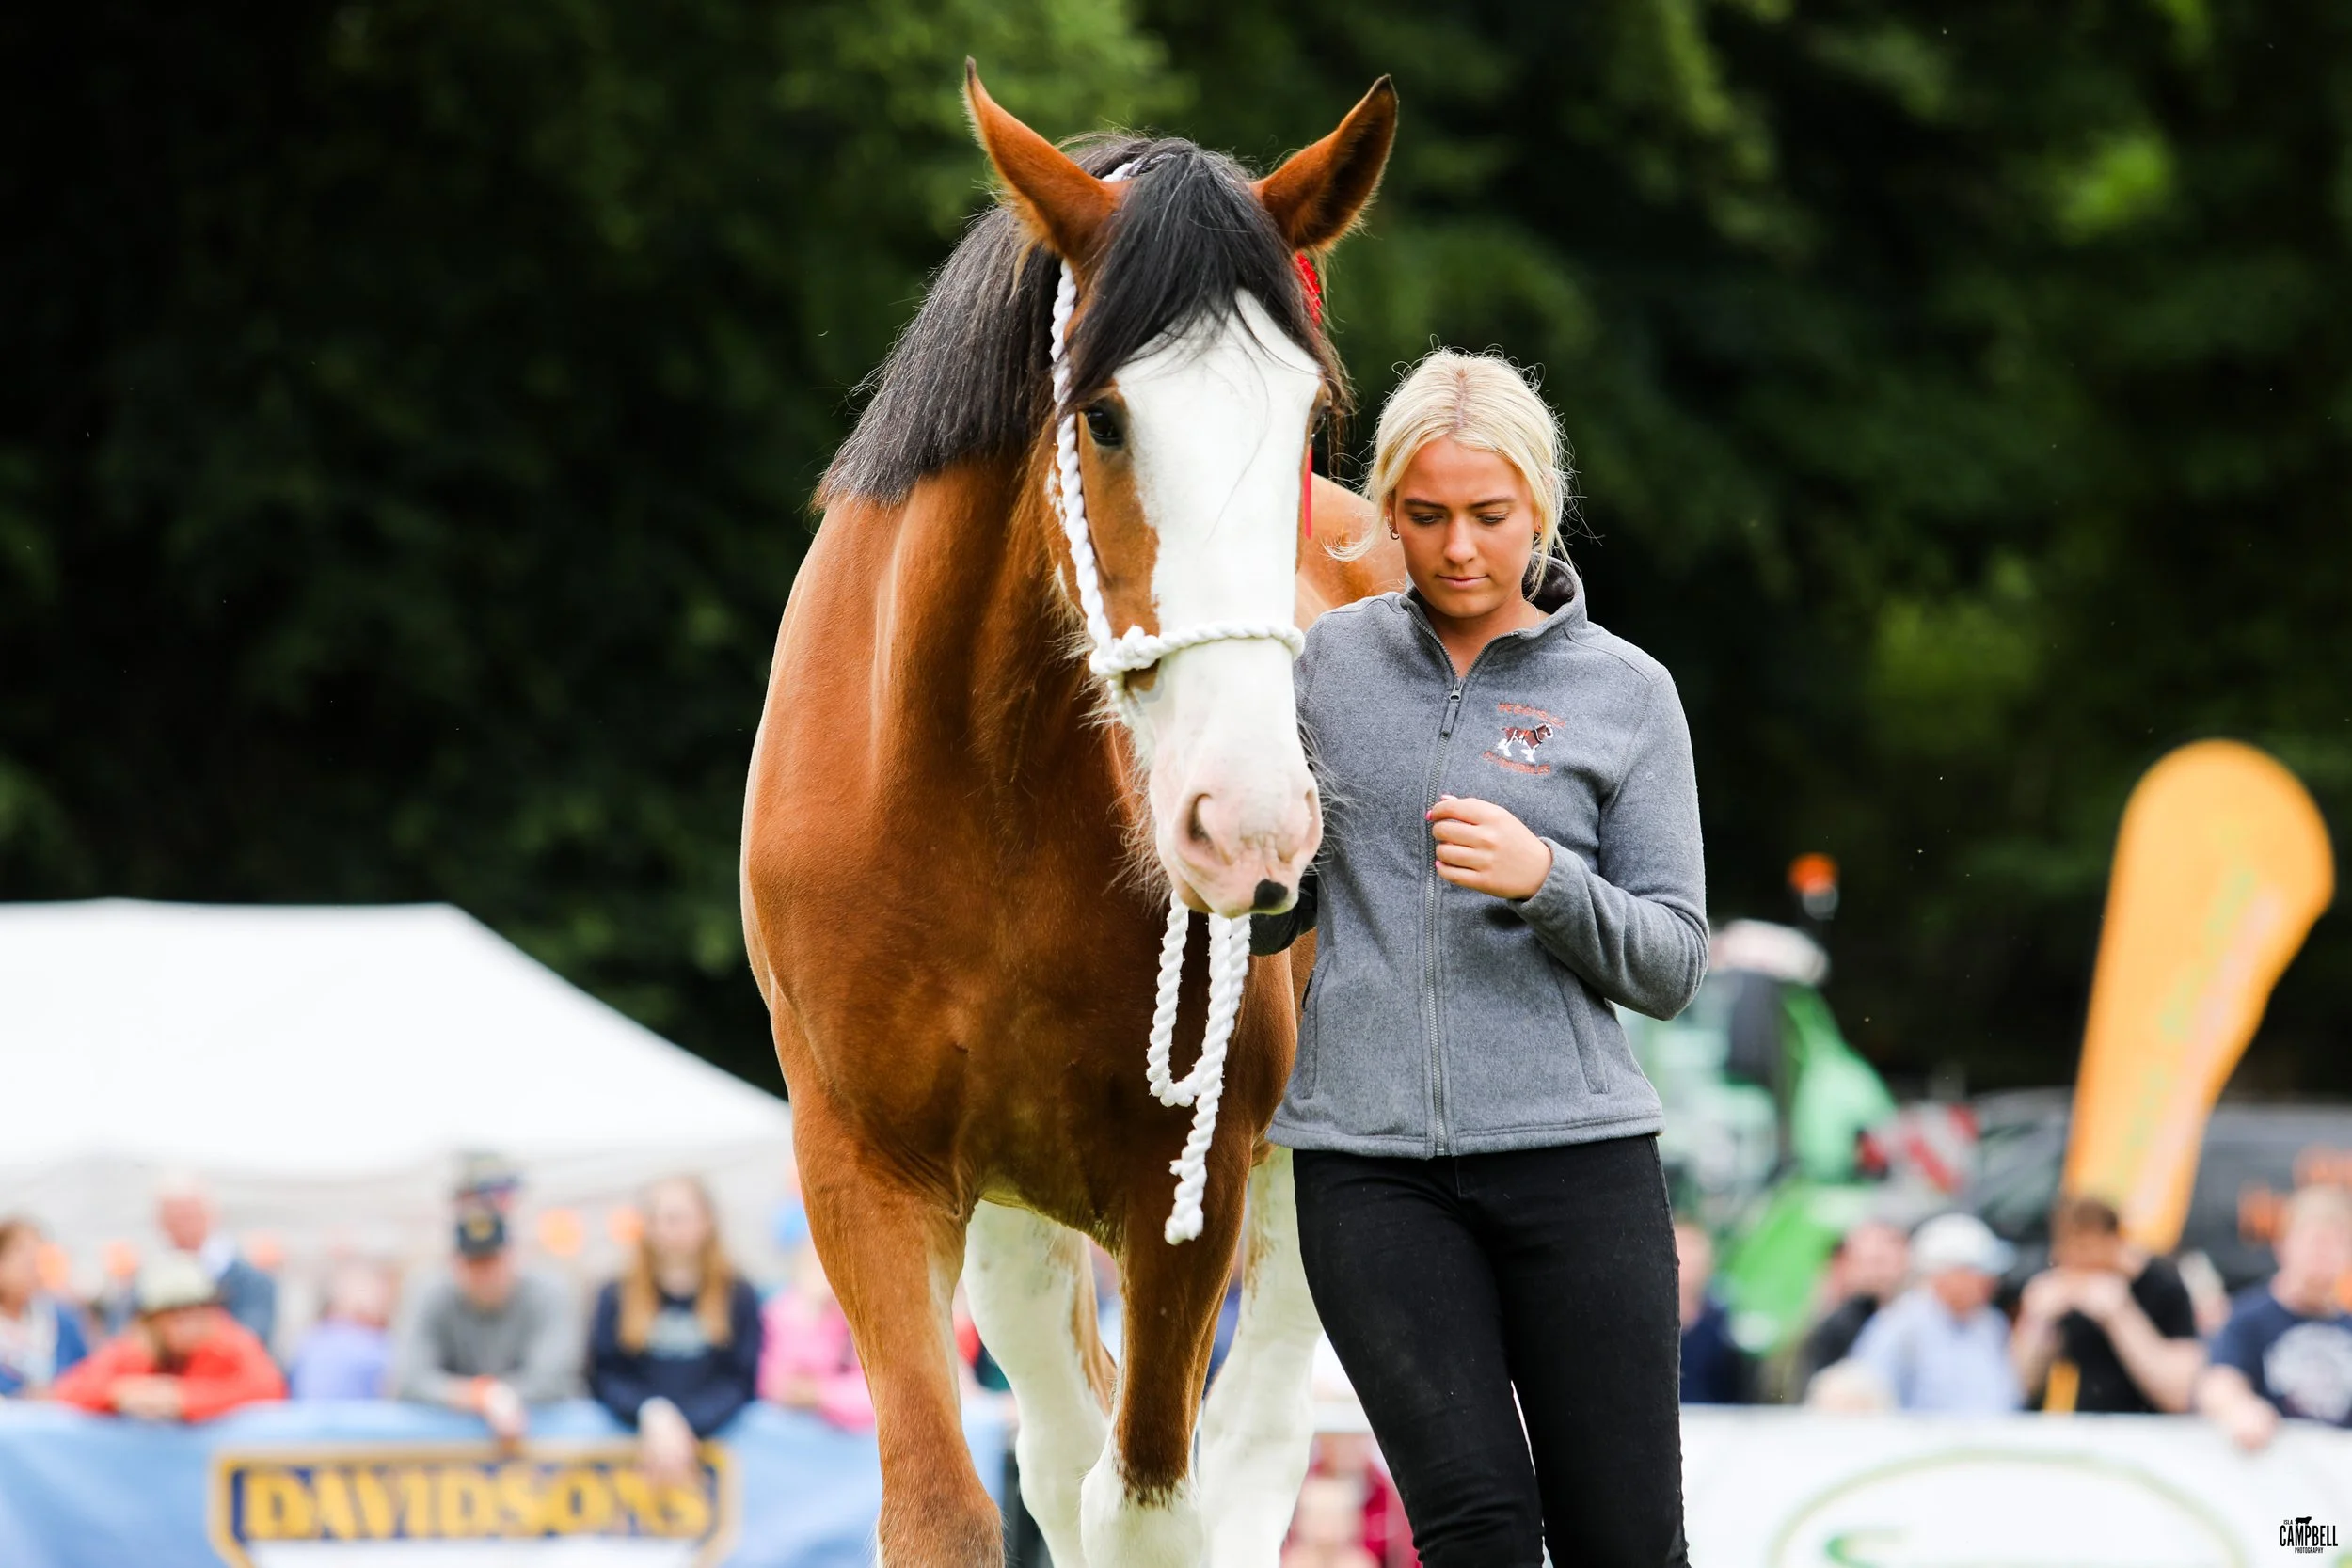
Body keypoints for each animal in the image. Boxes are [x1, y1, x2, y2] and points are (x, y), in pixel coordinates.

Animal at [741, 64, 1399, 1568]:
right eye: (1103, 416)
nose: (1254, 824)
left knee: (1251, 1446)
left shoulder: (1189, 1185)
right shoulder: (863, 1169)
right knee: (1053, 1440)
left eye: (1304, 419)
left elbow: (1153, 1498)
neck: (982, 794)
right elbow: (943, 1500)